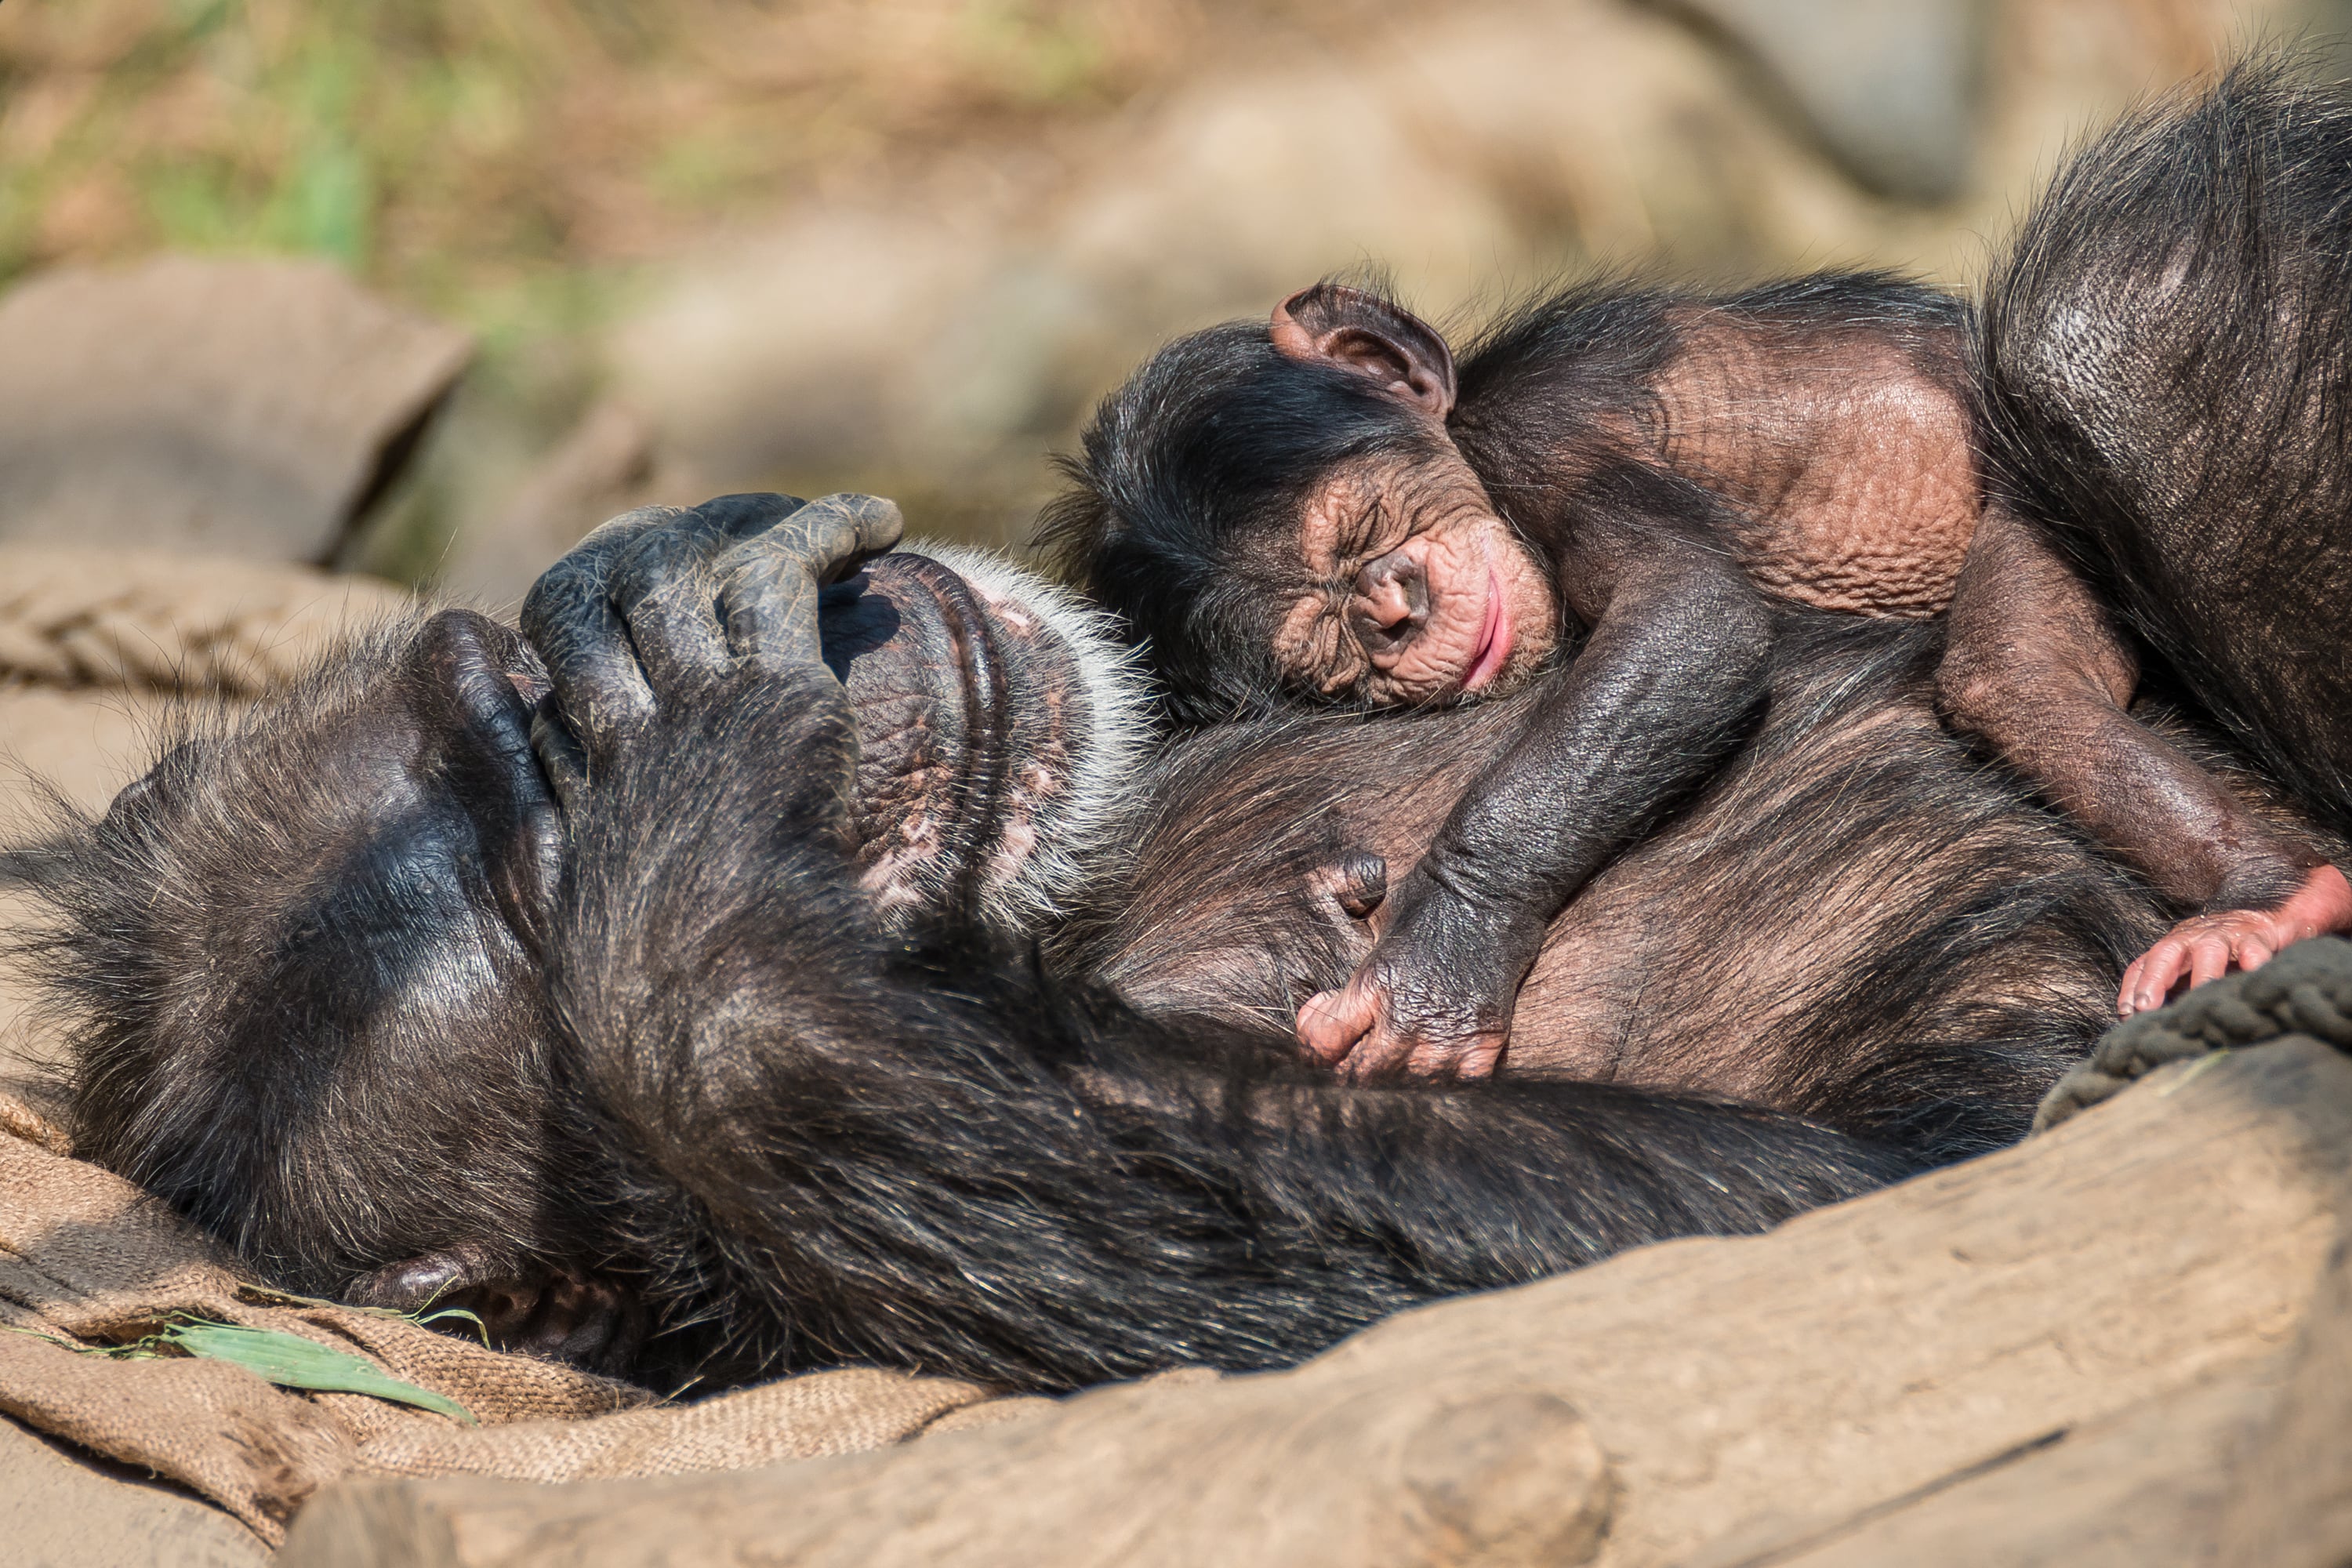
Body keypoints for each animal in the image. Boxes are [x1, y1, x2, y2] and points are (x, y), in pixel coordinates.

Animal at [1049, 89, 2352, 1091]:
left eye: (1364, 531)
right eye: (1330, 656)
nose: (1392, 610)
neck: (1471, 435)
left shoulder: (1553, 441)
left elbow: (1689, 620)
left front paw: (1439, 958)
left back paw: (2264, 904)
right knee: (2017, 682)